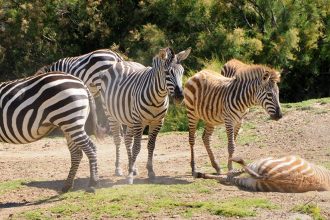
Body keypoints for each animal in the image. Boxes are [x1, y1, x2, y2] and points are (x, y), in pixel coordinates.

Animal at [98, 46, 191, 184]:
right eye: (167, 73)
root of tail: (122, 62)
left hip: (129, 119)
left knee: (127, 139)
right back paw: (119, 168)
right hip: (112, 115)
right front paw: (130, 176)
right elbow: (137, 147)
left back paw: (132, 166)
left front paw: (150, 172)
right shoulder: (139, 121)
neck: (157, 99)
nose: (180, 97)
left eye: (182, 72)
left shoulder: (157, 122)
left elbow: (151, 146)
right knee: (118, 140)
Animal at [196, 155, 330, 192]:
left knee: (231, 174)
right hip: (251, 182)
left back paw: (199, 174)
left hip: (258, 163)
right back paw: (202, 175)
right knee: (229, 177)